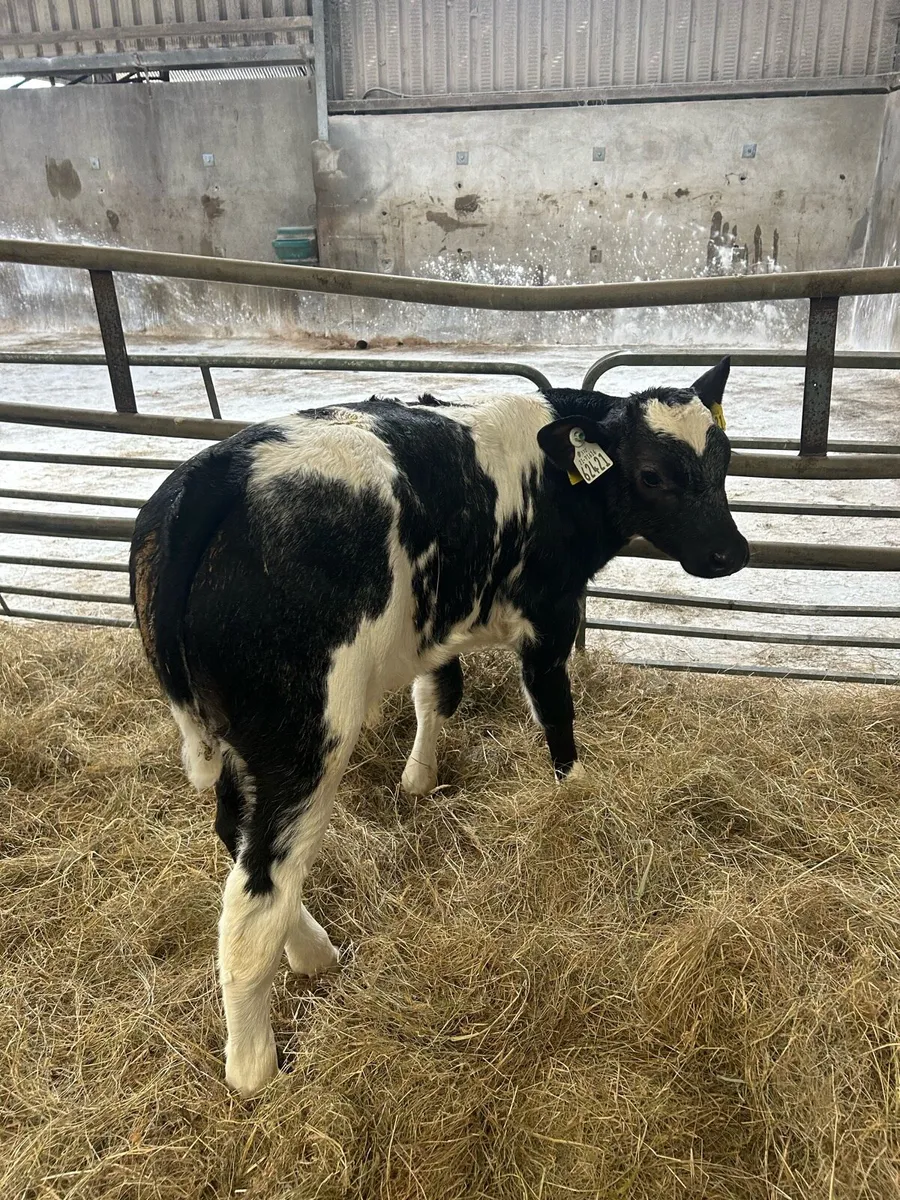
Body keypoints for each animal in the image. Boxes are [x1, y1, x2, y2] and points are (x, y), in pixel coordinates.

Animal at [130, 357, 748, 1096]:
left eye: (725, 457)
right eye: (653, 473)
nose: (731, 552)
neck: (552, 470)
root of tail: (217, 473)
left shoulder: (437, 622)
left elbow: (436, 694)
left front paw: (420, 778)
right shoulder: (548, 613)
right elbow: (555, 714)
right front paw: (575, 795)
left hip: (237, 737)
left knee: (236, 834)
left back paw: (314, 950)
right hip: (305, 738)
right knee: (258, 896)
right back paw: (255, 1068)